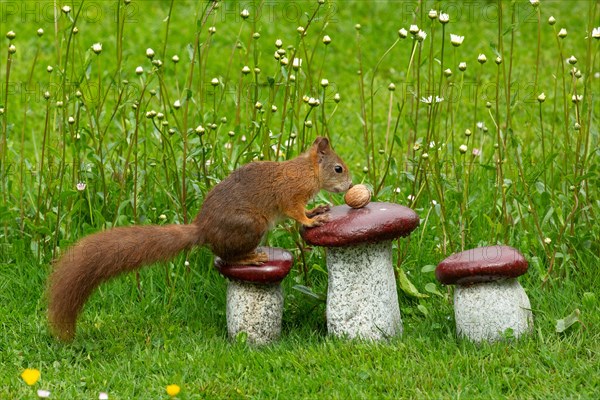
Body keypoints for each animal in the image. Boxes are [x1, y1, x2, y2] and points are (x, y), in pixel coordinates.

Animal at [50, 137, 352, 340]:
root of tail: (203, 230)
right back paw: (251, 257)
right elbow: (296, 213)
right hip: (251, 226)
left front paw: (317, 209)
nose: (350, 185)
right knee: (227, 257)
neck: (306, 170)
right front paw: (312, 219)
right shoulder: (290, 194)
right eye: (338, 168)